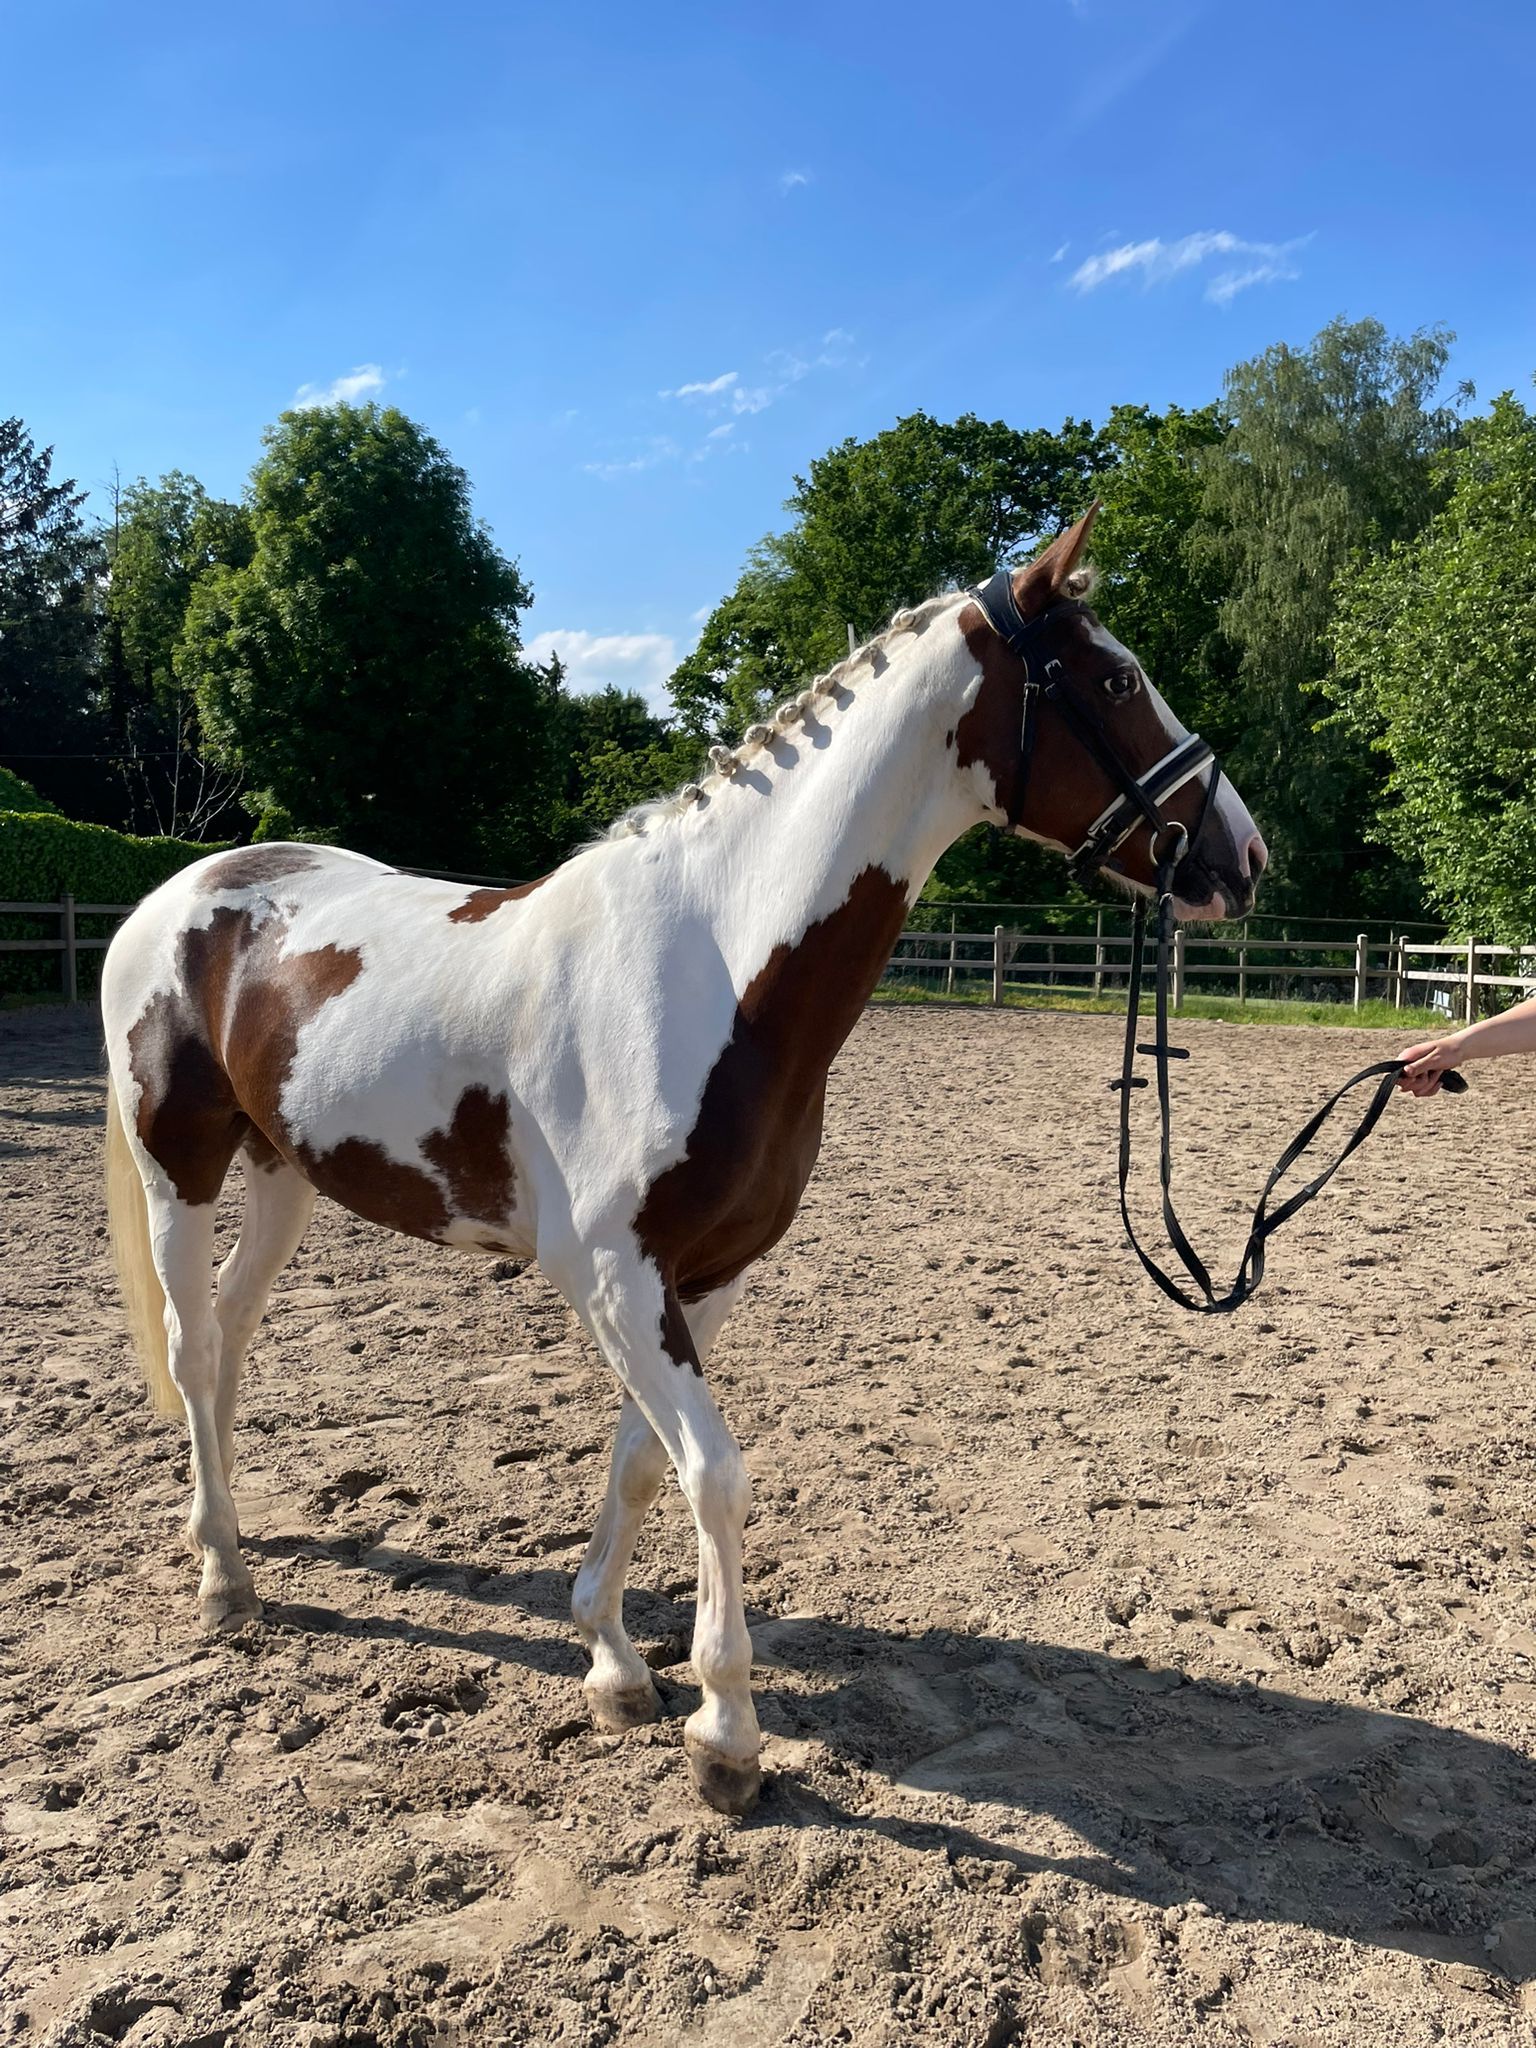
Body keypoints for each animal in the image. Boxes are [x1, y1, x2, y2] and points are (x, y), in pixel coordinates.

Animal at [100, 506, 1265, 1815]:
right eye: (1116, 680)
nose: (1245, 856)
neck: (714, 965)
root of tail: (180, 891)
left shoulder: (702, 1274)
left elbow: (640, 1465)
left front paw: (614, 1665)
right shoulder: (613, 1275)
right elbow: (713, 1473)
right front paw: (727, 1733)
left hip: (285, 1174)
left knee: (231, 1334)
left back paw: (234, 1534)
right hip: (180, 1165)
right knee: (193, 1346)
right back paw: (223, 1579)